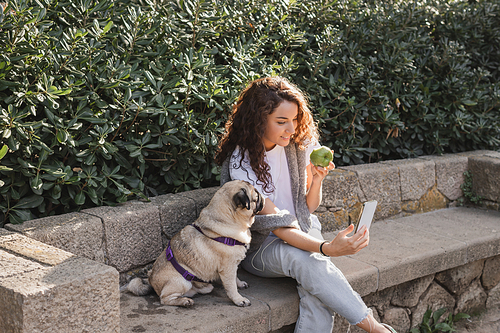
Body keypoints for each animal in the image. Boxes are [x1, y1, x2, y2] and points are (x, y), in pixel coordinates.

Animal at [125, 180, 264, 308]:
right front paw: (239, 299)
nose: (263, 196)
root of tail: (150, 279)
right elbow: (231, 286)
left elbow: (236, 278)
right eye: (256, 197)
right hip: (182, 281)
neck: (229, 219)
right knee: (165, 299)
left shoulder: (233, 266)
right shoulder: (228, 268)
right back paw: (184, 302)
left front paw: (240, 284)